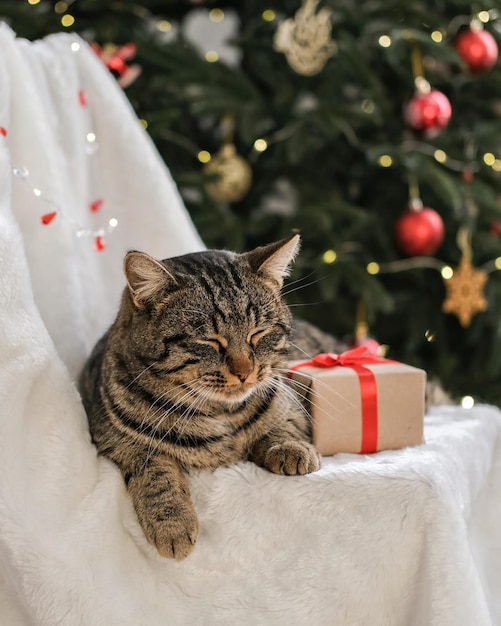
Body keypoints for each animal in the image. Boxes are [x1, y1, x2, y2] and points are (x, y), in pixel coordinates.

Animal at [79, 233, 344, 556]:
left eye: (258, 333)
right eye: (209, 340)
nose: (244, 372)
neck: (221, 415)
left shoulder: (289, 403)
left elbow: (283, 427)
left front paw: (291, 448)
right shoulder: (114, 442)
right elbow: (155, 471)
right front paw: (172, 524)